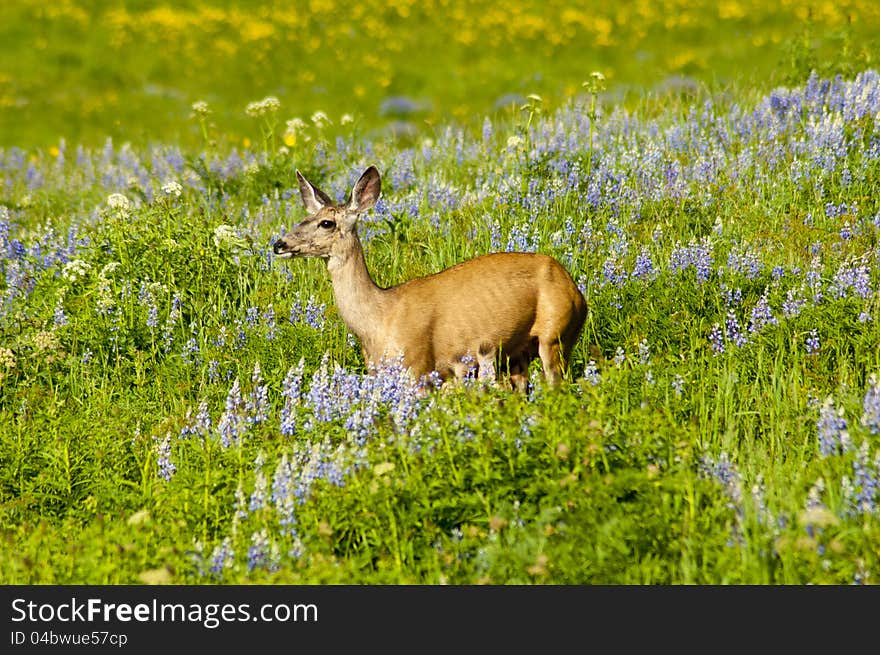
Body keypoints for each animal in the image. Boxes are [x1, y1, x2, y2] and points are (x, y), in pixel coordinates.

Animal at [272, 167, 588, 392]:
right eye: (302, 219)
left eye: (326, 223)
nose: (279, 244)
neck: (378, 319)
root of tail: (577, 291)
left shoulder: (418, 366)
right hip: (516, 354)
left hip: (556, 334)